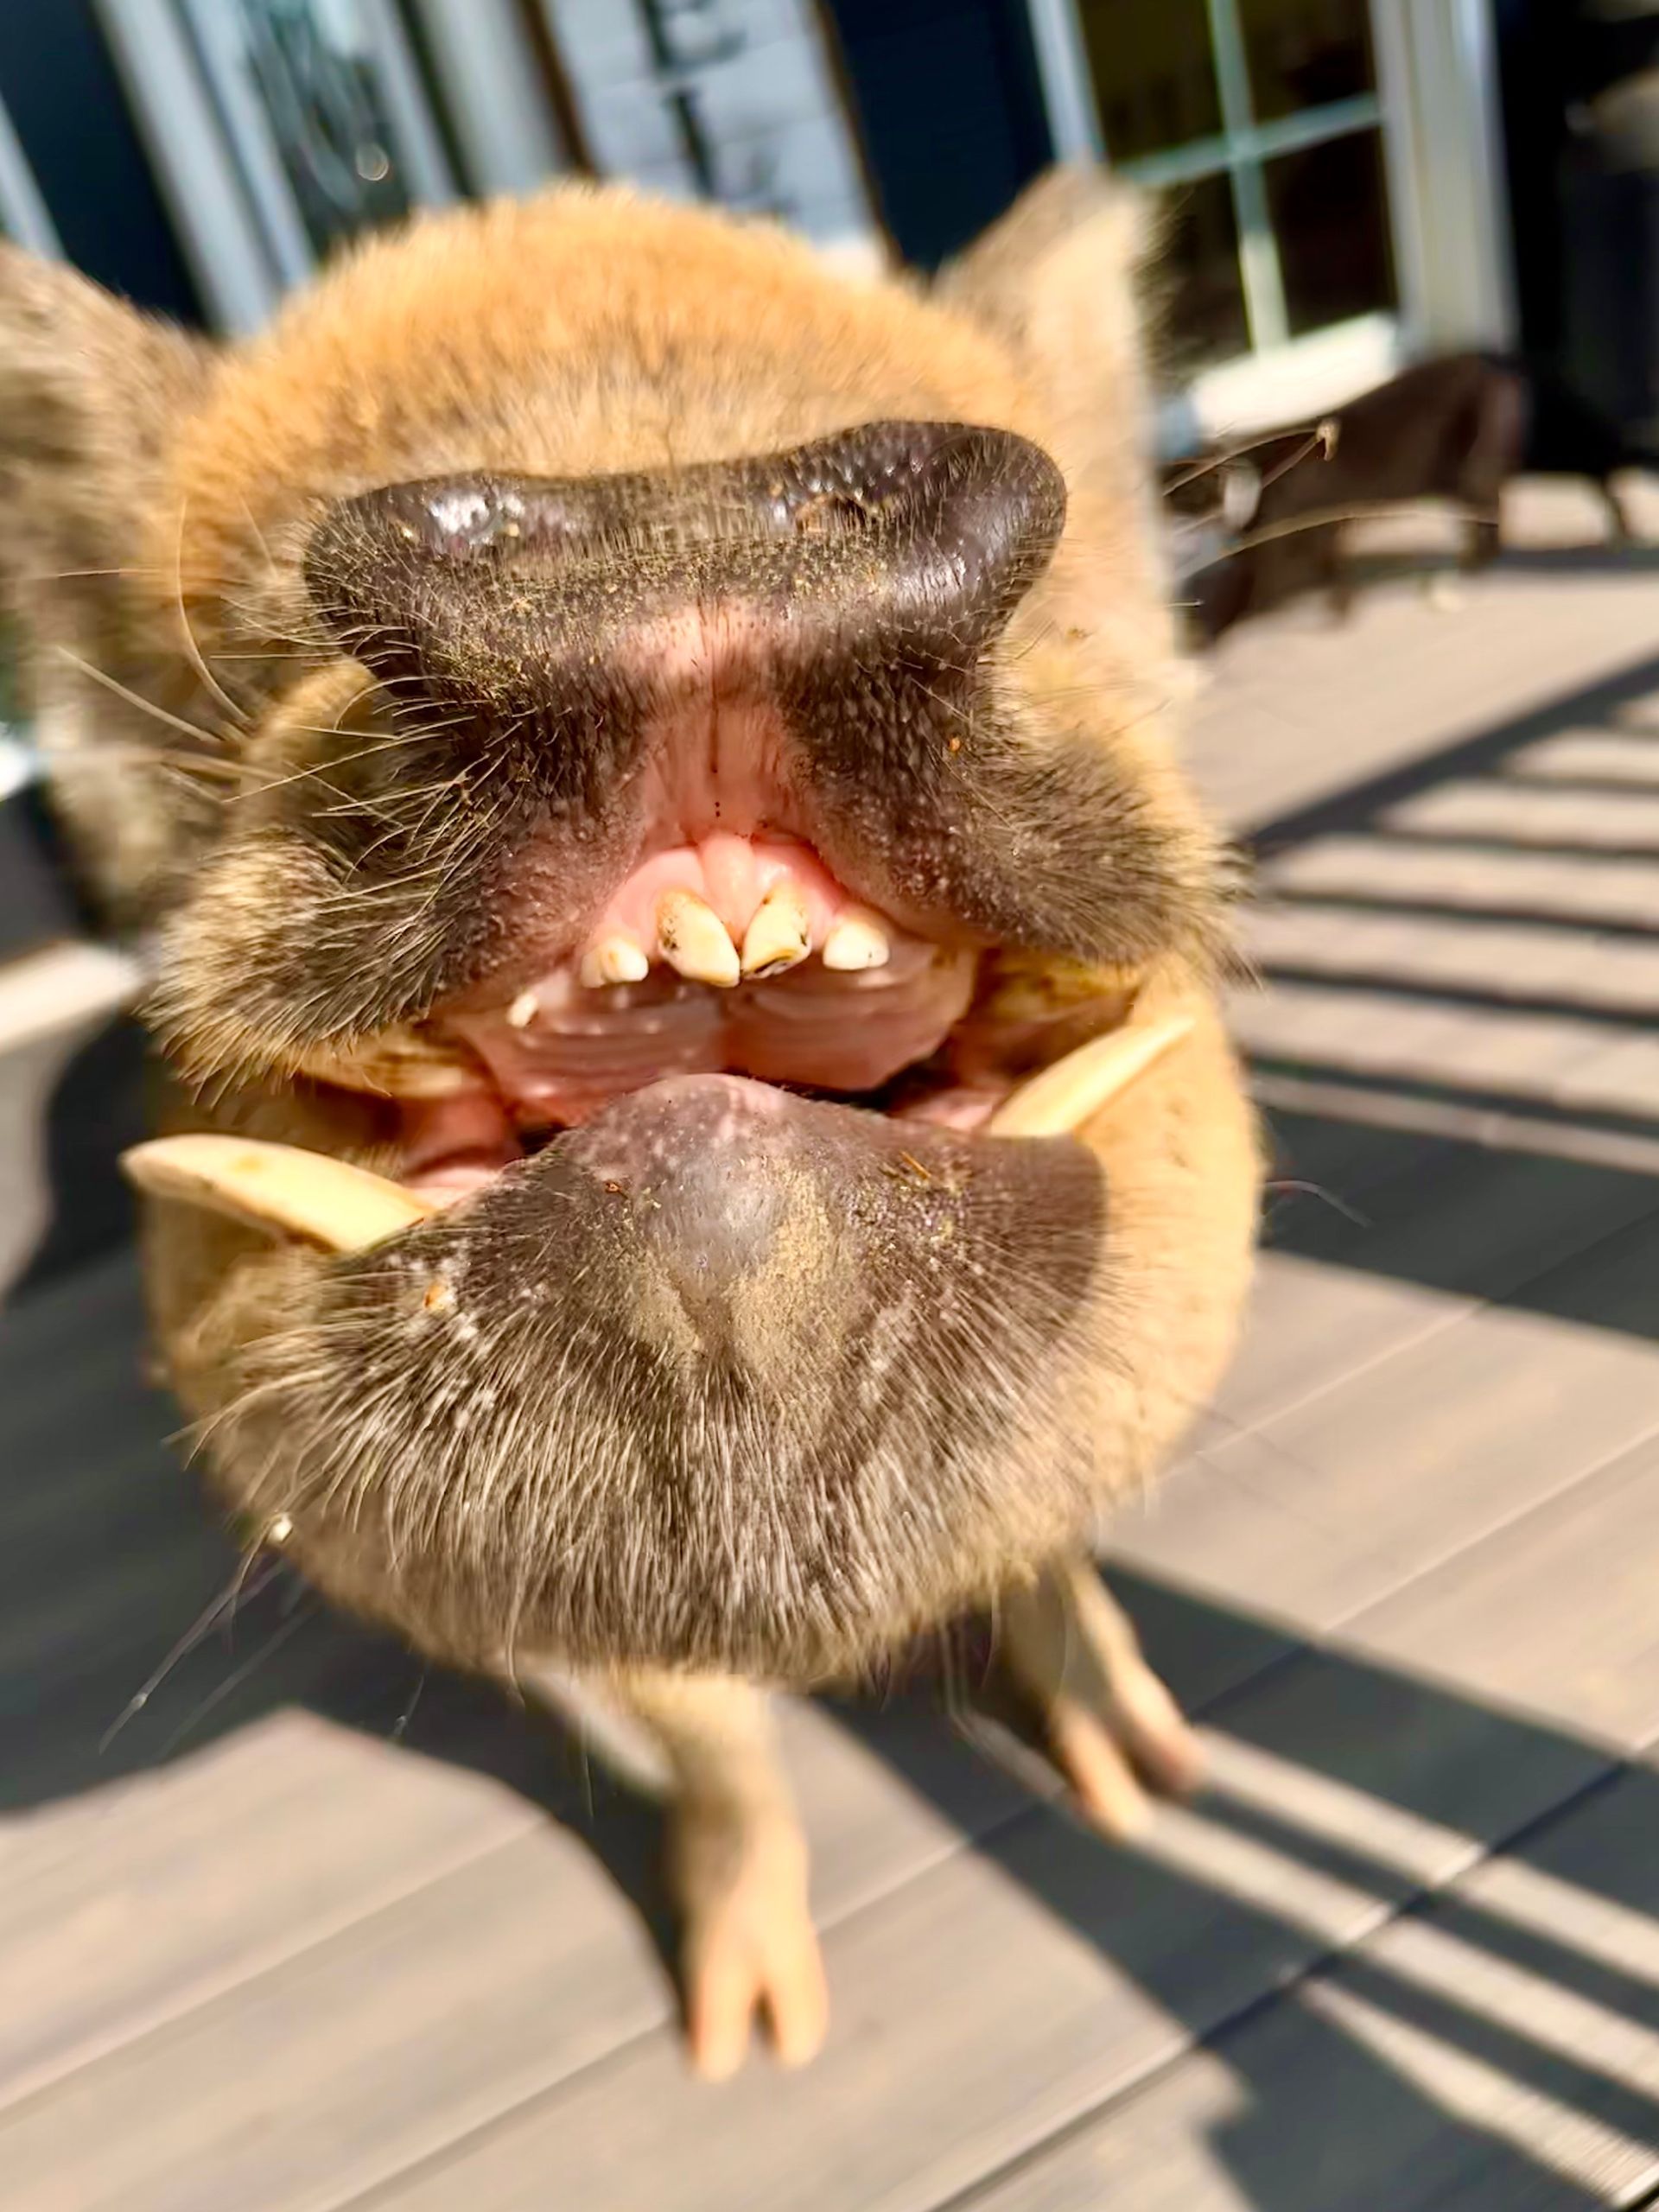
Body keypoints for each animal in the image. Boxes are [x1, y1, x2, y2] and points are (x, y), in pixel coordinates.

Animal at [0, 169, 1259, 2078]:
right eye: (252, 649)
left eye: (1071, 622)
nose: (674, 522)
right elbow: (712, 1744)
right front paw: (752, 2042)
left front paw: (1148, 1786)